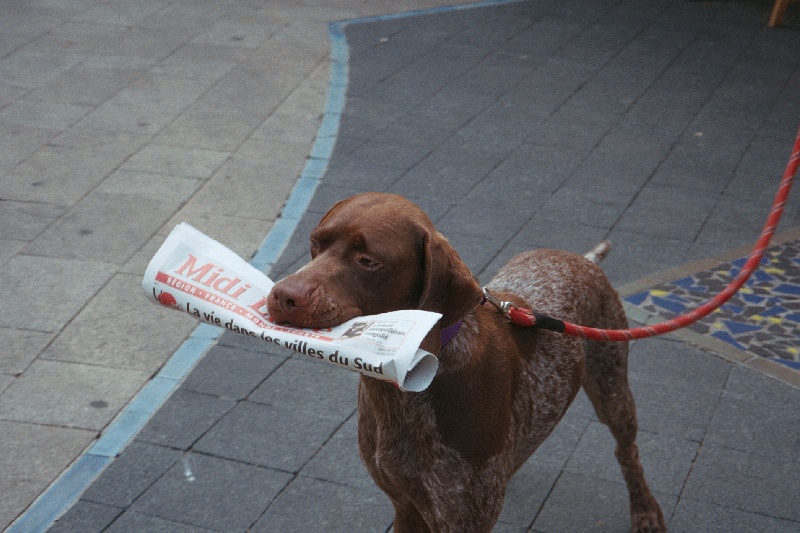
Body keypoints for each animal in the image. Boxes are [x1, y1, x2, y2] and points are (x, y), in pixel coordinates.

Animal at [268, 192, 664, 532]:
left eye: (368, 262)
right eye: (315, 242)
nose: (284, 295)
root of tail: (582, 259)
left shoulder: (460, 517)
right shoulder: (405, 507)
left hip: (612, 388)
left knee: (627, 451)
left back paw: (645, 510)